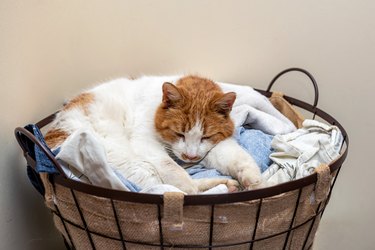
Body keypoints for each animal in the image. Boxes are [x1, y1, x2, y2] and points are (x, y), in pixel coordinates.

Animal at [44, 75, 262, 193]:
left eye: (205, 136)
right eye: (179, 133)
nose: (190, 157)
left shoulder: (212, 146)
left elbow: (238, 158)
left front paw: (255, 181)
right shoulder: (144, 141)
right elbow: (173, 168)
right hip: (126, 160)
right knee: (169, 189)